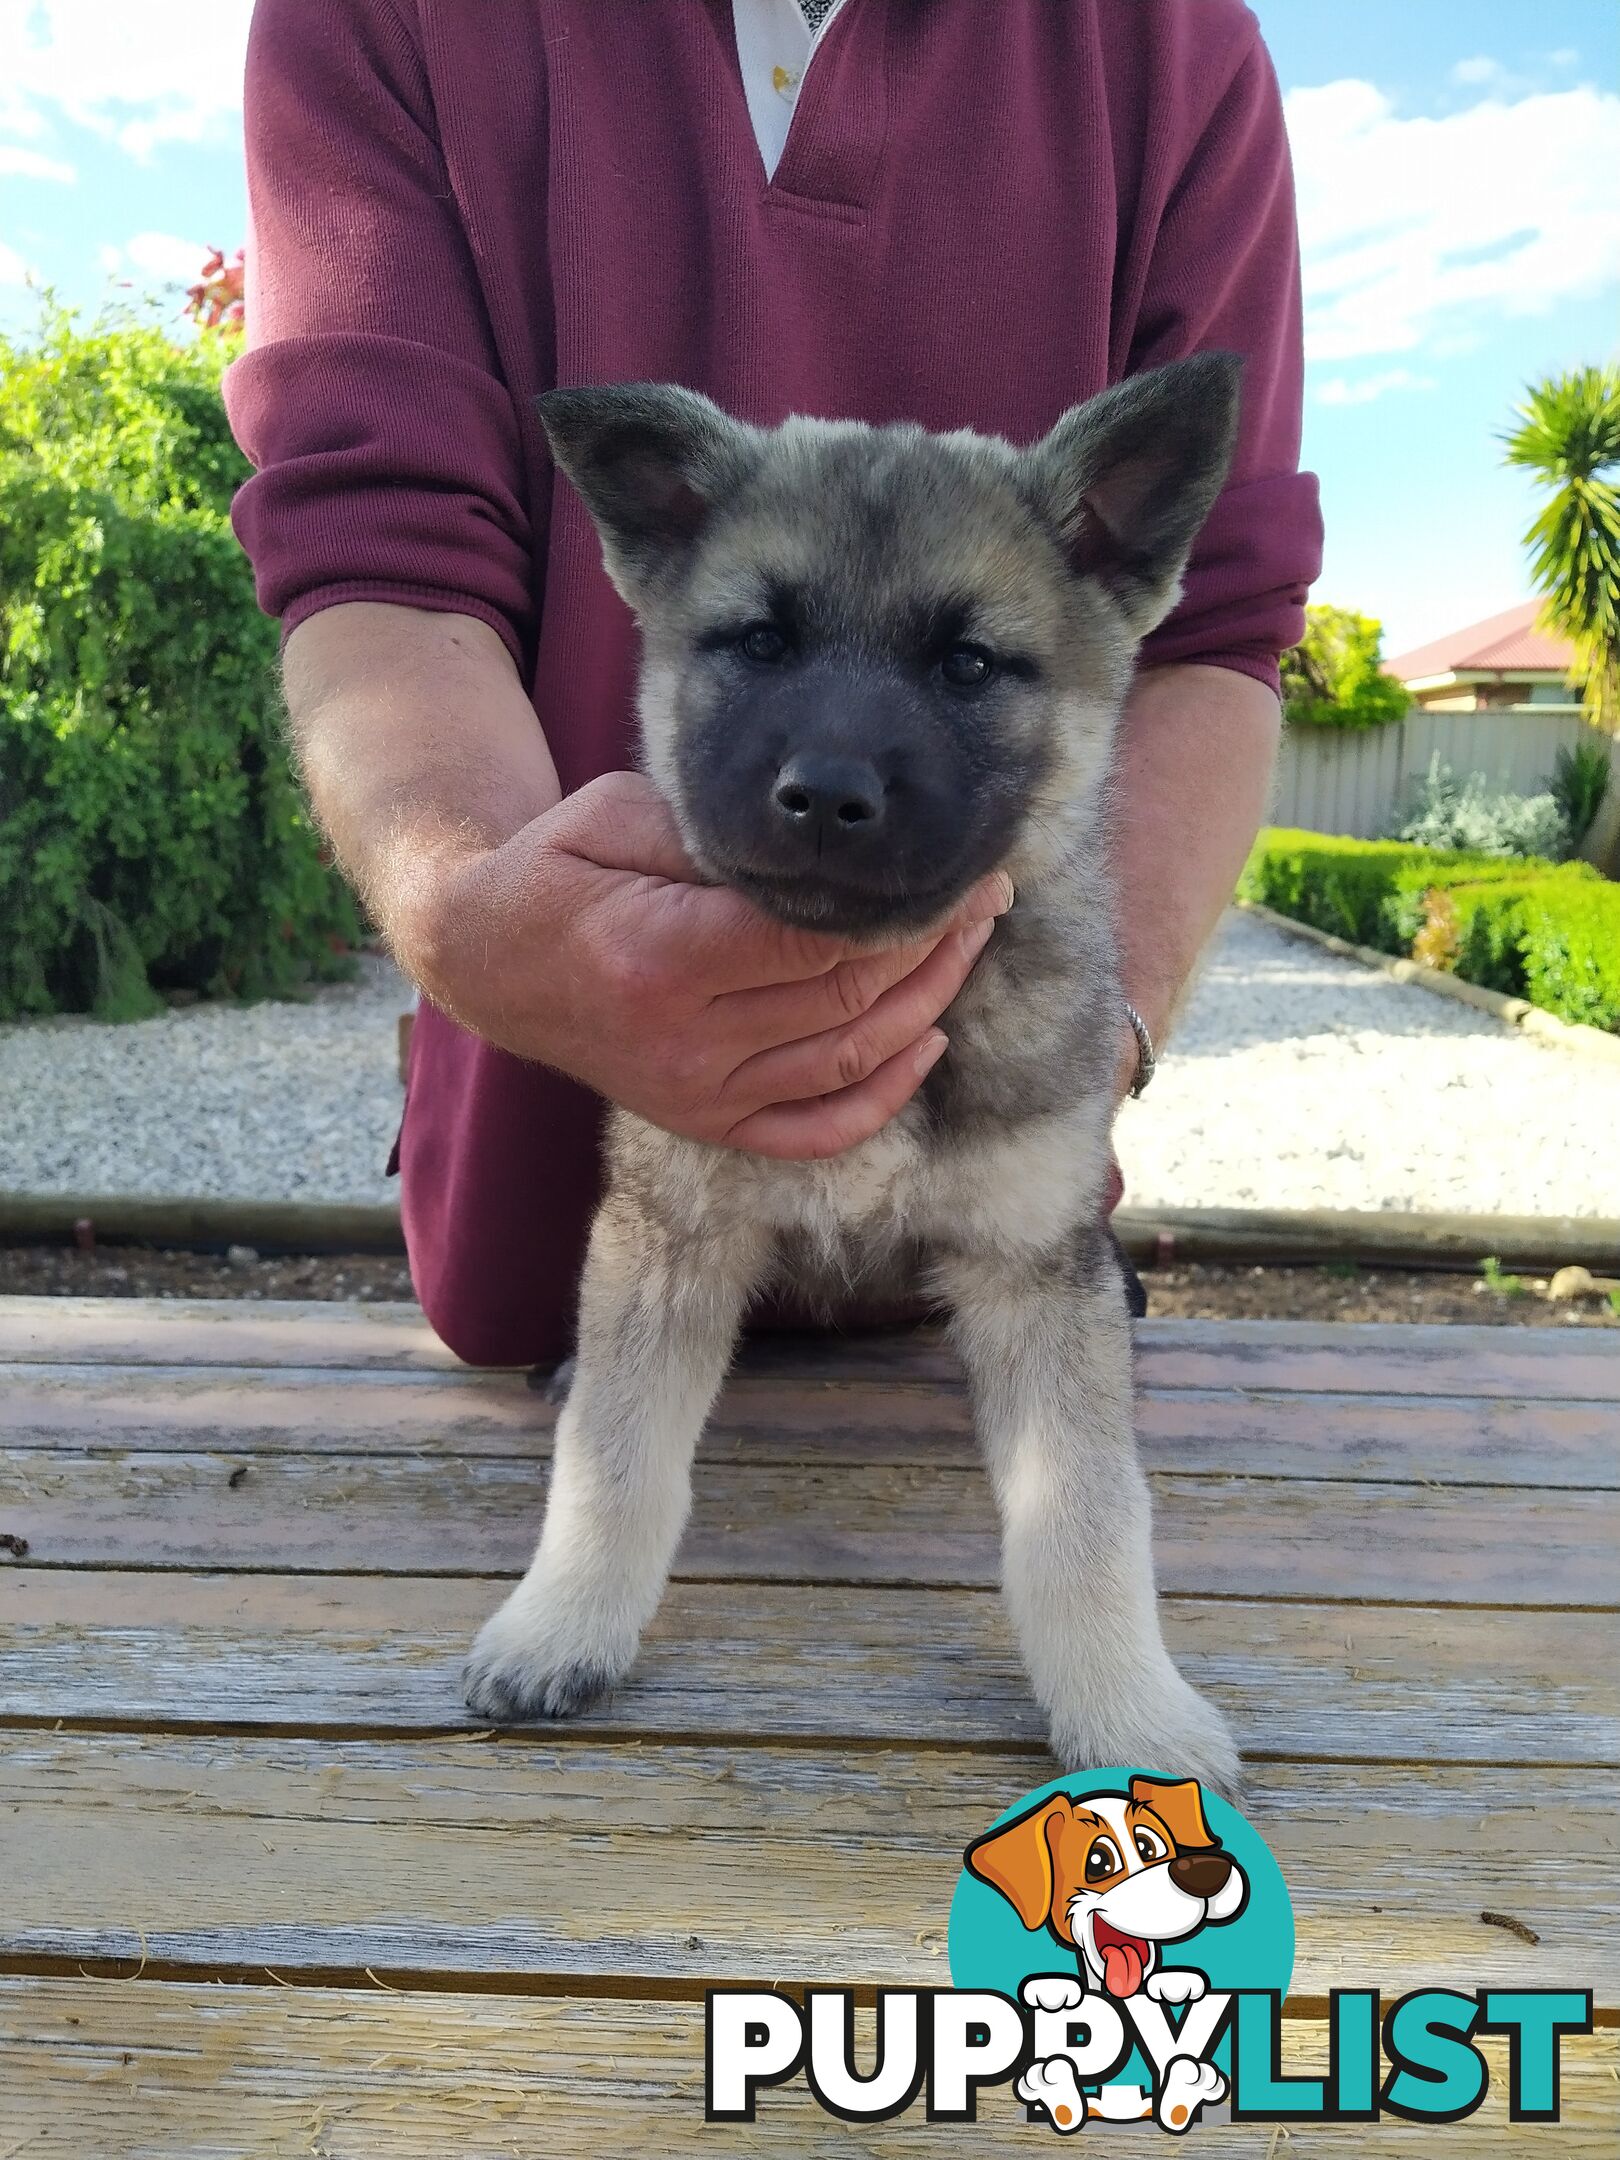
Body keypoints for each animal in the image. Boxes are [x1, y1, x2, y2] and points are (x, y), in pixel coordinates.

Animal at [462, 358, 1252, 1788]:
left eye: (968, 664)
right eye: (760, 643)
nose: (825, 794)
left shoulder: (1035, 1264)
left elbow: (1085, 1512)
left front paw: (1127, 1708)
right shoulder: (670, 1231)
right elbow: (615, 1460)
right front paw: (563, 1621)